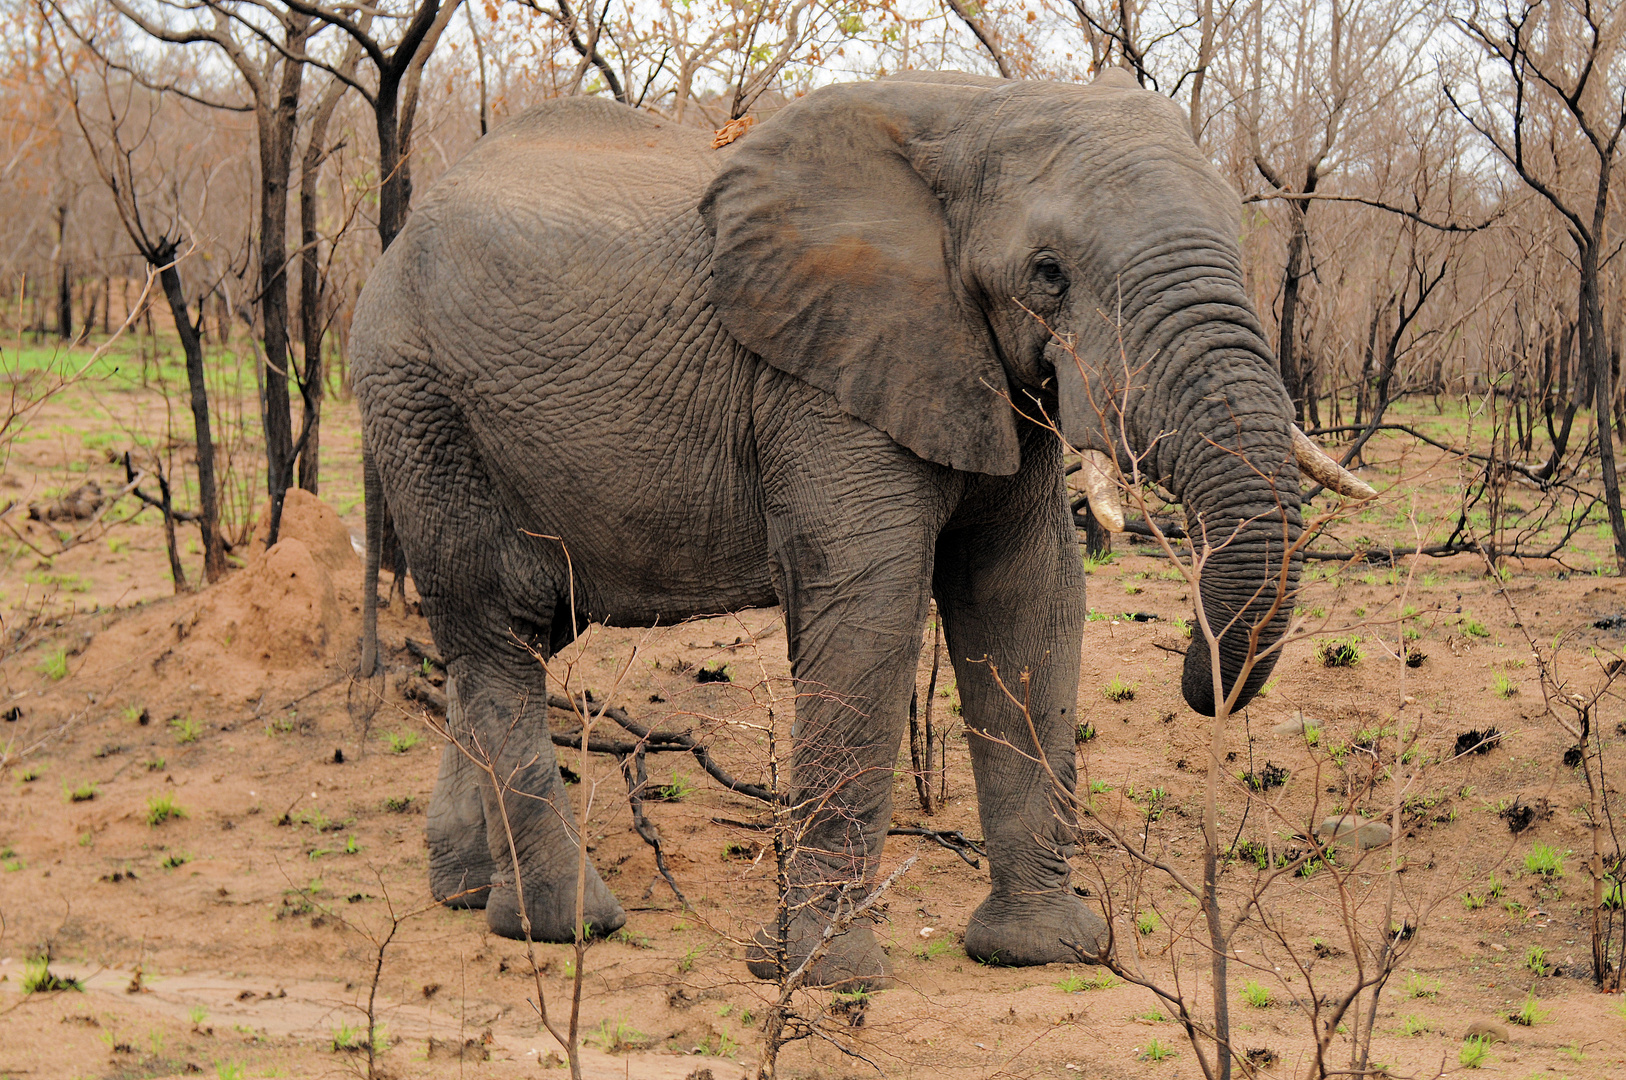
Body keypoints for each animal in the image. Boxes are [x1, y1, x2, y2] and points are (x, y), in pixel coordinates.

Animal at [352, 67, 1372, 988]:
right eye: (1048, 274)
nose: (1205, 690)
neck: (977, 108)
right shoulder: (822, 375)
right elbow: (873, 605)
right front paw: (822, 977)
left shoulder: (975, 368)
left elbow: (1027, 599)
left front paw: (1043, 951)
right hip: (418, 404)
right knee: (496, 626)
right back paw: (564, 925)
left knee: (520, 635)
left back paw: (466, 893)